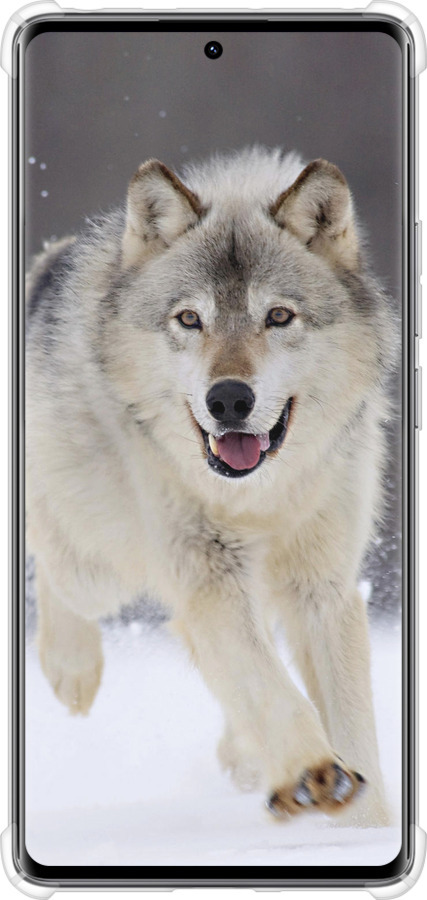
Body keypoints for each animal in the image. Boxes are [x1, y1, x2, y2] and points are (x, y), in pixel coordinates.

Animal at [26, 146, 396, 827]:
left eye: (278, 316)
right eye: (190, 319)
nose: (228, 399)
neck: (258, 498)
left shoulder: (322, 586)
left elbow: (351, 723)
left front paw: (366, 827)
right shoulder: (207, 574)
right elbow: (269, 686)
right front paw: (312, 773)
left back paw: (245, 757)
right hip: (101, 566)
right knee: (54, 564)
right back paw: (72, 670)